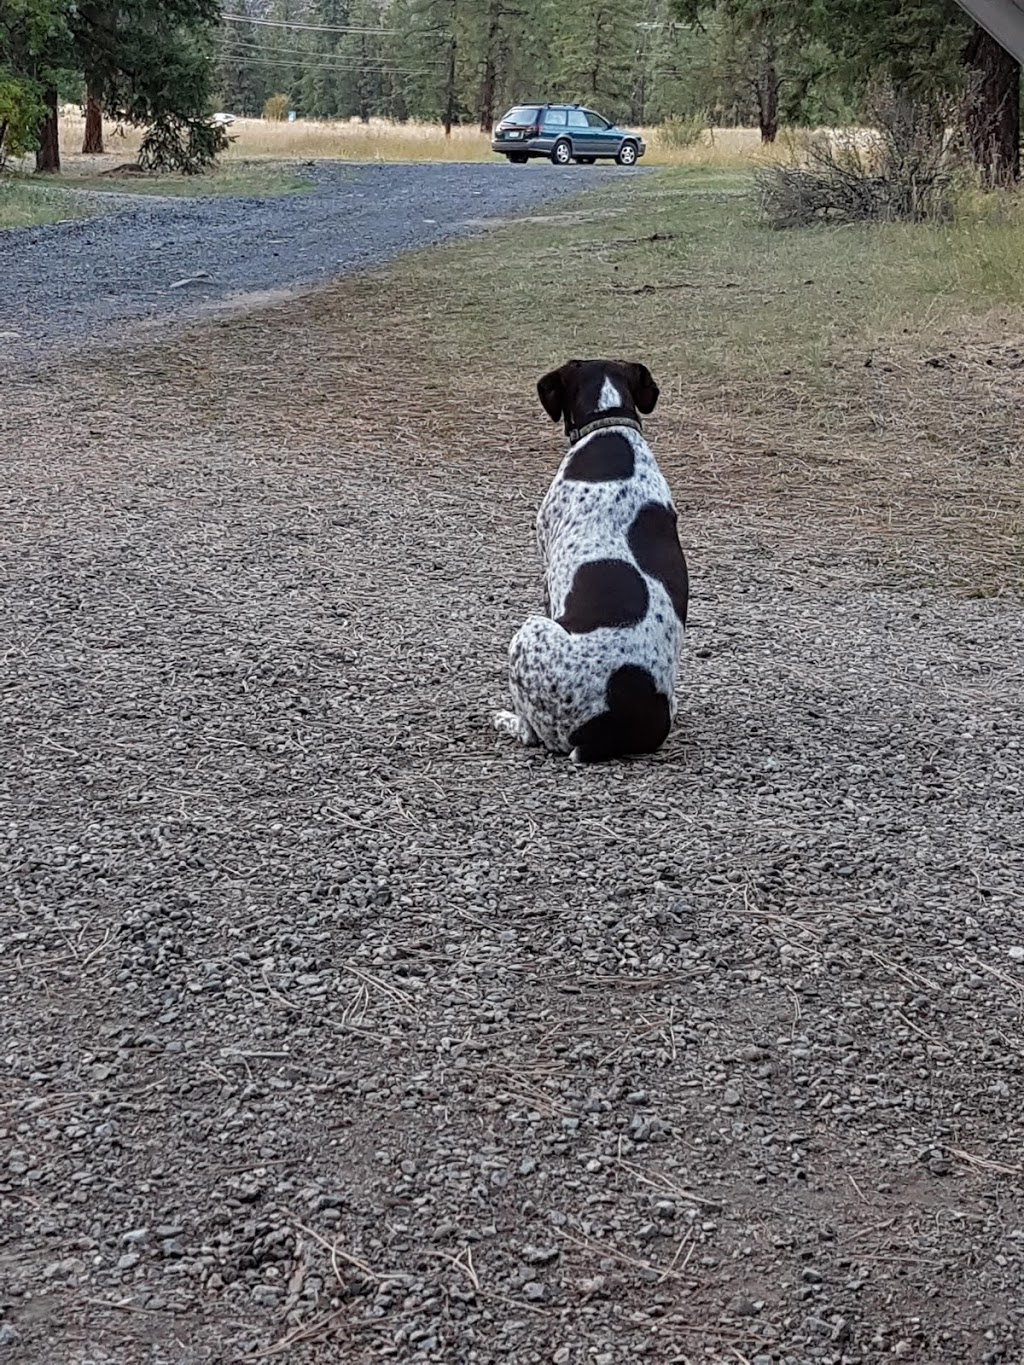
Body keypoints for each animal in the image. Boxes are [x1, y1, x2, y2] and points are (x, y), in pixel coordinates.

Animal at [494, 357, 690, 764]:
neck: (610, 426)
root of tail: (609, 730)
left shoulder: (547, 571)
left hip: (528, 634)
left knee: (531, 733)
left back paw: (506, 720)